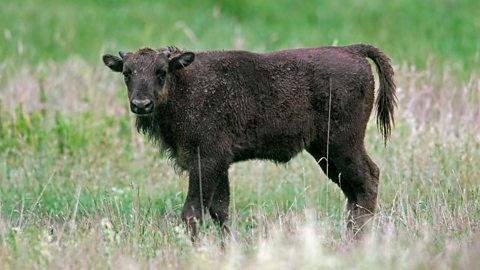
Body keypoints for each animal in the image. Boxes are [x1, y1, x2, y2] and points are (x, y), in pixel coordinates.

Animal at [102, 44, 398, 240]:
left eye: (161, 71)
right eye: (127, 73)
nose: (141, 105)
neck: (184, 83)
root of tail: (353, 51)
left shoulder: (206, 161)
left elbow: (193, 211)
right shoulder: (219, 166)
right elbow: (220, 210)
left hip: (342, 144)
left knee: (368, 179)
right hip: (325, 153)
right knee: (353, 191)